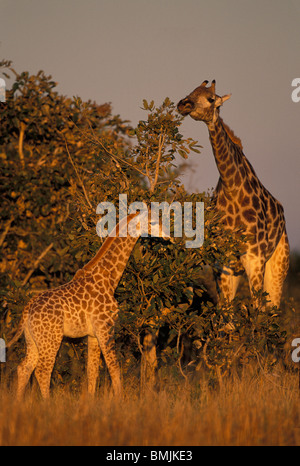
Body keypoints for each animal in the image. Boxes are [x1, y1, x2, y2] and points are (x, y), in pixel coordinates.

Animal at [7, 210, 168, 396]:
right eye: (153, 222)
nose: (168, 235)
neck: (109, 278)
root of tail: (28, 309)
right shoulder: (105, 328)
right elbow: (114, 367)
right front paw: (119, 399)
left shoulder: (93, 334)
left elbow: (92, 371)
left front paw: (90, 400)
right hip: (51, 339)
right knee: (42, 371)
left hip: (32, 339)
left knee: (24, 368)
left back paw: (19, 401)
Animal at [177, 79, 290, 308]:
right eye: (191, 92)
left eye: (211, 99)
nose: (184, 104)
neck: (232, 188)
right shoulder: (223, 263)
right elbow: (225, 314)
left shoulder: (255, 260)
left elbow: (256, 312)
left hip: (278, 267)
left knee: (272, 309)